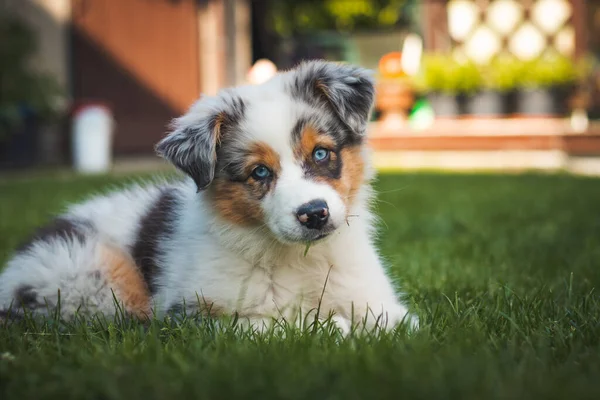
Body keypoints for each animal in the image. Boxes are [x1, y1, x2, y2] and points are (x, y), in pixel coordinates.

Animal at [0, 59, 418, 332]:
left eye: (320, 153)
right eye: (259, 172)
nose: (314, 214)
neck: (298, 260)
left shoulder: (376, 300)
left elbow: (402, 325)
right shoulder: (196, 314)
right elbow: (279, 325)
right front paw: (335, 329)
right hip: (89, 279)